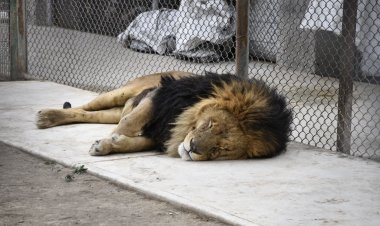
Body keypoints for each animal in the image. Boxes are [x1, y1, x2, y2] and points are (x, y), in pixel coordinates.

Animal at [35, 71, 292, 160]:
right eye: (210, 124)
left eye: (222, 149)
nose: (193, 148)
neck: (184, 123)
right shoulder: (161, 94)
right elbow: (128, 124)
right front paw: (105, 141)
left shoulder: (159, 136)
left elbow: (131, 142)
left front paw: (108, 145)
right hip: (121, 93)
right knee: (83, 107)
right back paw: (46, 116)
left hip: (113, 110)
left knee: (89, 114)